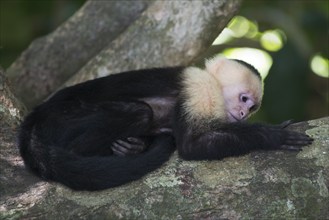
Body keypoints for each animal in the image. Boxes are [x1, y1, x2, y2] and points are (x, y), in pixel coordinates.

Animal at [18, 56, 312, 191]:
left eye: (252, 108)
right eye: (243, 98)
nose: (242, 114)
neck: (214, 85)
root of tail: (39, 114)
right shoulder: (200, 87)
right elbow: (191, 146)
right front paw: (271, 136)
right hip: (65, 115)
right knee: (139, 112)